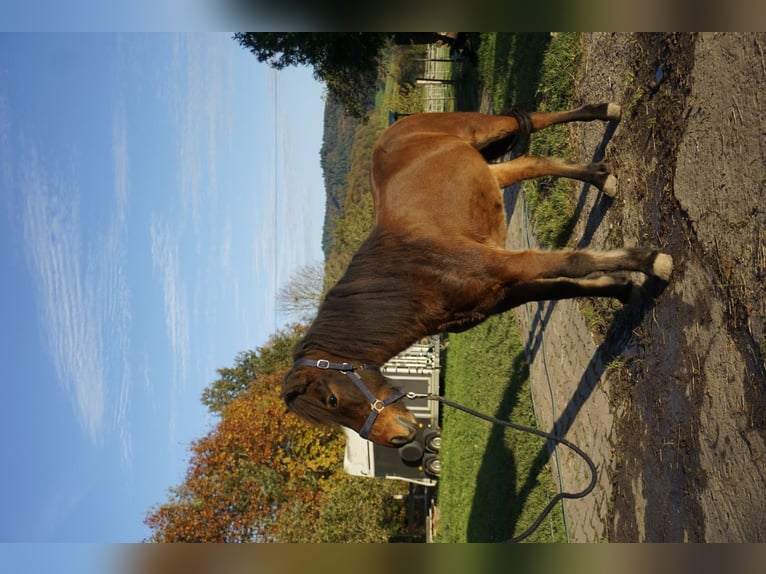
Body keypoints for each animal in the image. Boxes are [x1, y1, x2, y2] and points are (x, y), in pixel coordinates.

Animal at [282, 107, 672, 450]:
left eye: (332, 400)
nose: (397, 438)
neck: (418, 270)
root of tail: (398, 126)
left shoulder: (504, 266)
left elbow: (574, 263)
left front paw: (654, 262)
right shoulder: (504, 295)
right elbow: (563, 286)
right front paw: (624, 291)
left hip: (483, 129)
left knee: (532, 120)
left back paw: (608, 112)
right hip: (489, 172)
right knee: (531, 163)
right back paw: (603, 179)